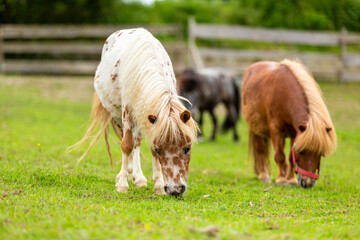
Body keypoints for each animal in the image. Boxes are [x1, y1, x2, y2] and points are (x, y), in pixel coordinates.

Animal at [69, 28, 200, 197]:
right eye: (159, 149)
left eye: (187, 147)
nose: (175, 190)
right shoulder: (128, 112)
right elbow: (126, 145)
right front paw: (122, 185)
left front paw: (158, 186)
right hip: (117, 115)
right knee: (128, 140)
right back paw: (126, 175)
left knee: (137, 141)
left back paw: (139, 178)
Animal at [242, 59, 338, 188]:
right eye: (300, 151)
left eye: (320, 154)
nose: (307, 183)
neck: (284, 94)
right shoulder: (276, 131)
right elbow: (280, 156)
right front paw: (281, 179)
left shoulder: (294, 133)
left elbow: (289, 158)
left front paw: (291, 180)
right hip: (256, 129)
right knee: (261, 150)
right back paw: (264, 175)